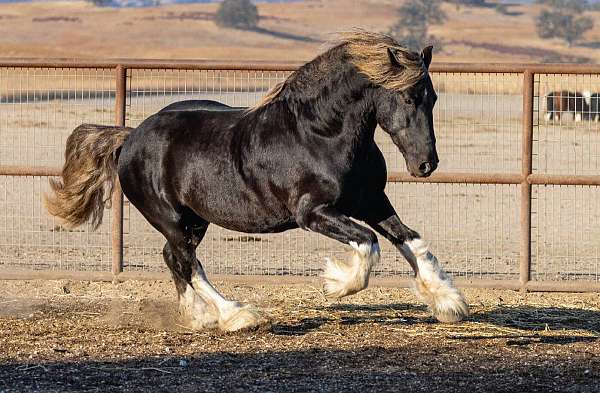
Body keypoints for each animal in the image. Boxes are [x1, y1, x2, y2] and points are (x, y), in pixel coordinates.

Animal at [45, 31, 468, 330]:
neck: (320, 134)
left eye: (432, 98)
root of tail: (130, 137)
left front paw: (449, 302)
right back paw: (237, 316)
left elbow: (411, 240)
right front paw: (335, 283)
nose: (426, 164)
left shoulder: (371, 201)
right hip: (171, 219)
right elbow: (368, 244)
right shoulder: (312, 213)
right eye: (410, 97)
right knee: (187, 262)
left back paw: (198, 318)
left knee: (174, 259)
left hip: (195, 220)